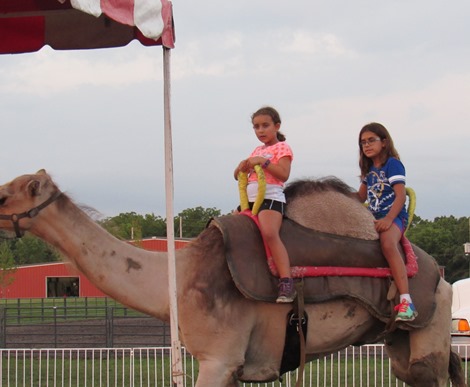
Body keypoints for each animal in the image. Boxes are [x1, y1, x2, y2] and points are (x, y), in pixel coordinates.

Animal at [0, 171, 464, 386]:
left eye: (6, 194)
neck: (178, 276)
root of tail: (439, 278)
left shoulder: (218, 357)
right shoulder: (233, 364)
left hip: (430, 326)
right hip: (400, 342)